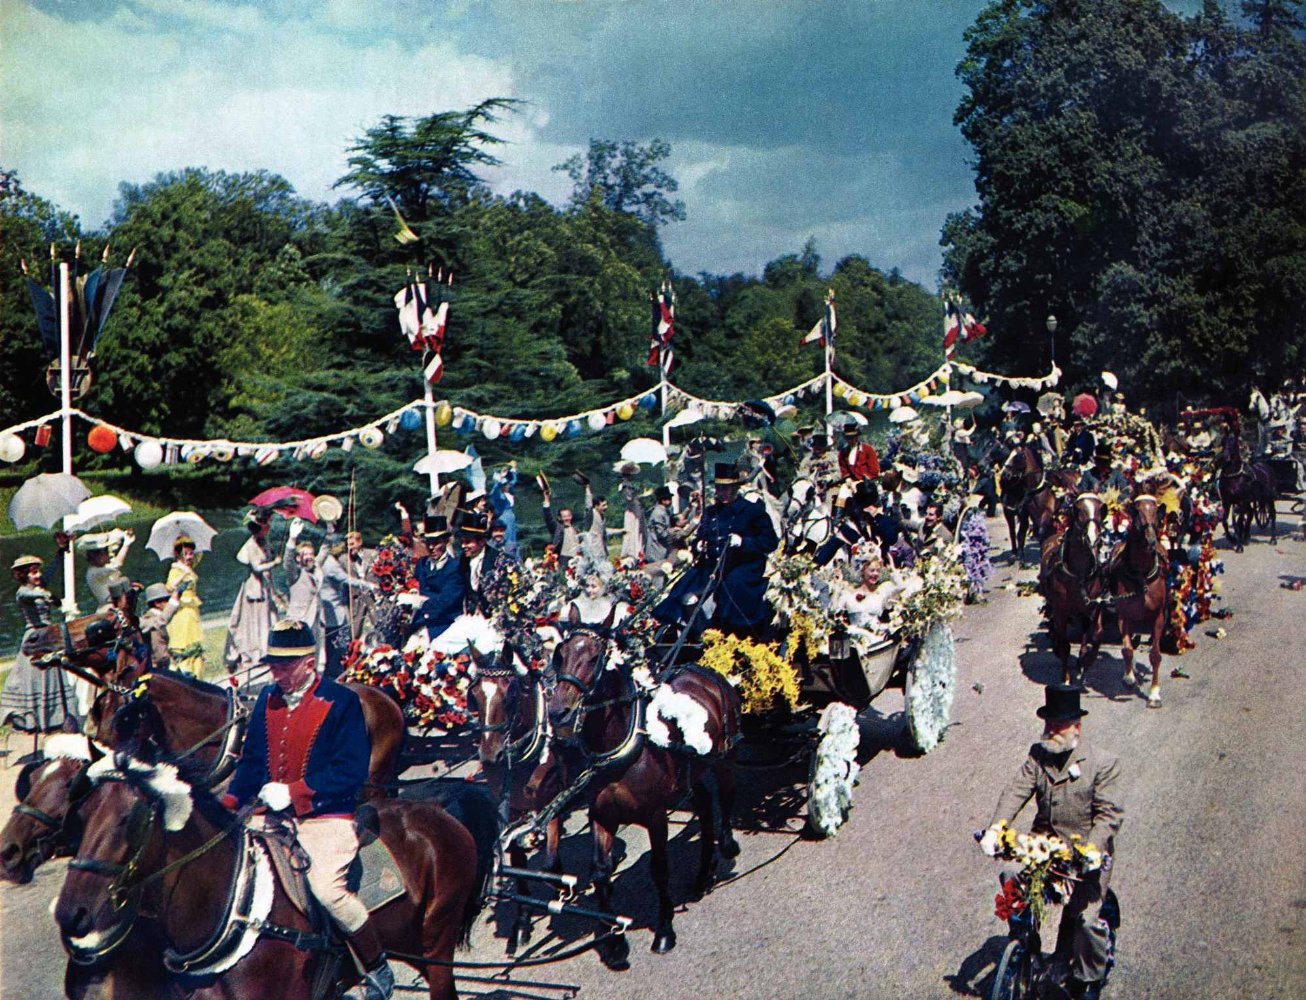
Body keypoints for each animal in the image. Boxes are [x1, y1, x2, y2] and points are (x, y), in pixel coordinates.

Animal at [54, 751, 493, 1000]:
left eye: (129, 820)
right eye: (81, 815)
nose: (69, 914)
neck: (238, 911)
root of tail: (438, 810)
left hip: (436, 941)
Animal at [543, 634, 741, 971]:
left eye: (595, 658)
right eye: (561, 655)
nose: (558, 710)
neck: (618, 748)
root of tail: (703, 669)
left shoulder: (656, 815)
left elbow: (659, 868)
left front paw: (664, 930)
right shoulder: (602, 815)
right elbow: (600, 872)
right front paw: (614, 942)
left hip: (724, 755)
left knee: (726, 795)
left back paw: (726, 845)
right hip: (692, 770)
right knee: (703, 804)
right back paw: (703, 873)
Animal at [1039, 496, 1102, 689]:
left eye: (1101, 509)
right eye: (1078, 509)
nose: (1093, 538)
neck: (1079, 573)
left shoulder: (1093, 607)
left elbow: (1096, 637)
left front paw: (1085, 663)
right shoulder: (1061, 610)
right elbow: (1065, 644)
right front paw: (1065, 678)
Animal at [1112, 496, 1175, 710]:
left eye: (1156, 512)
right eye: (1137, 512)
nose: (1151, 541)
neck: (1141, 577)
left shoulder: (1158, 616)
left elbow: (1155, 655)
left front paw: (1154, 694)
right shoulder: (1124, 615)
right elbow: (1127, 649)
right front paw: (1129, 677)